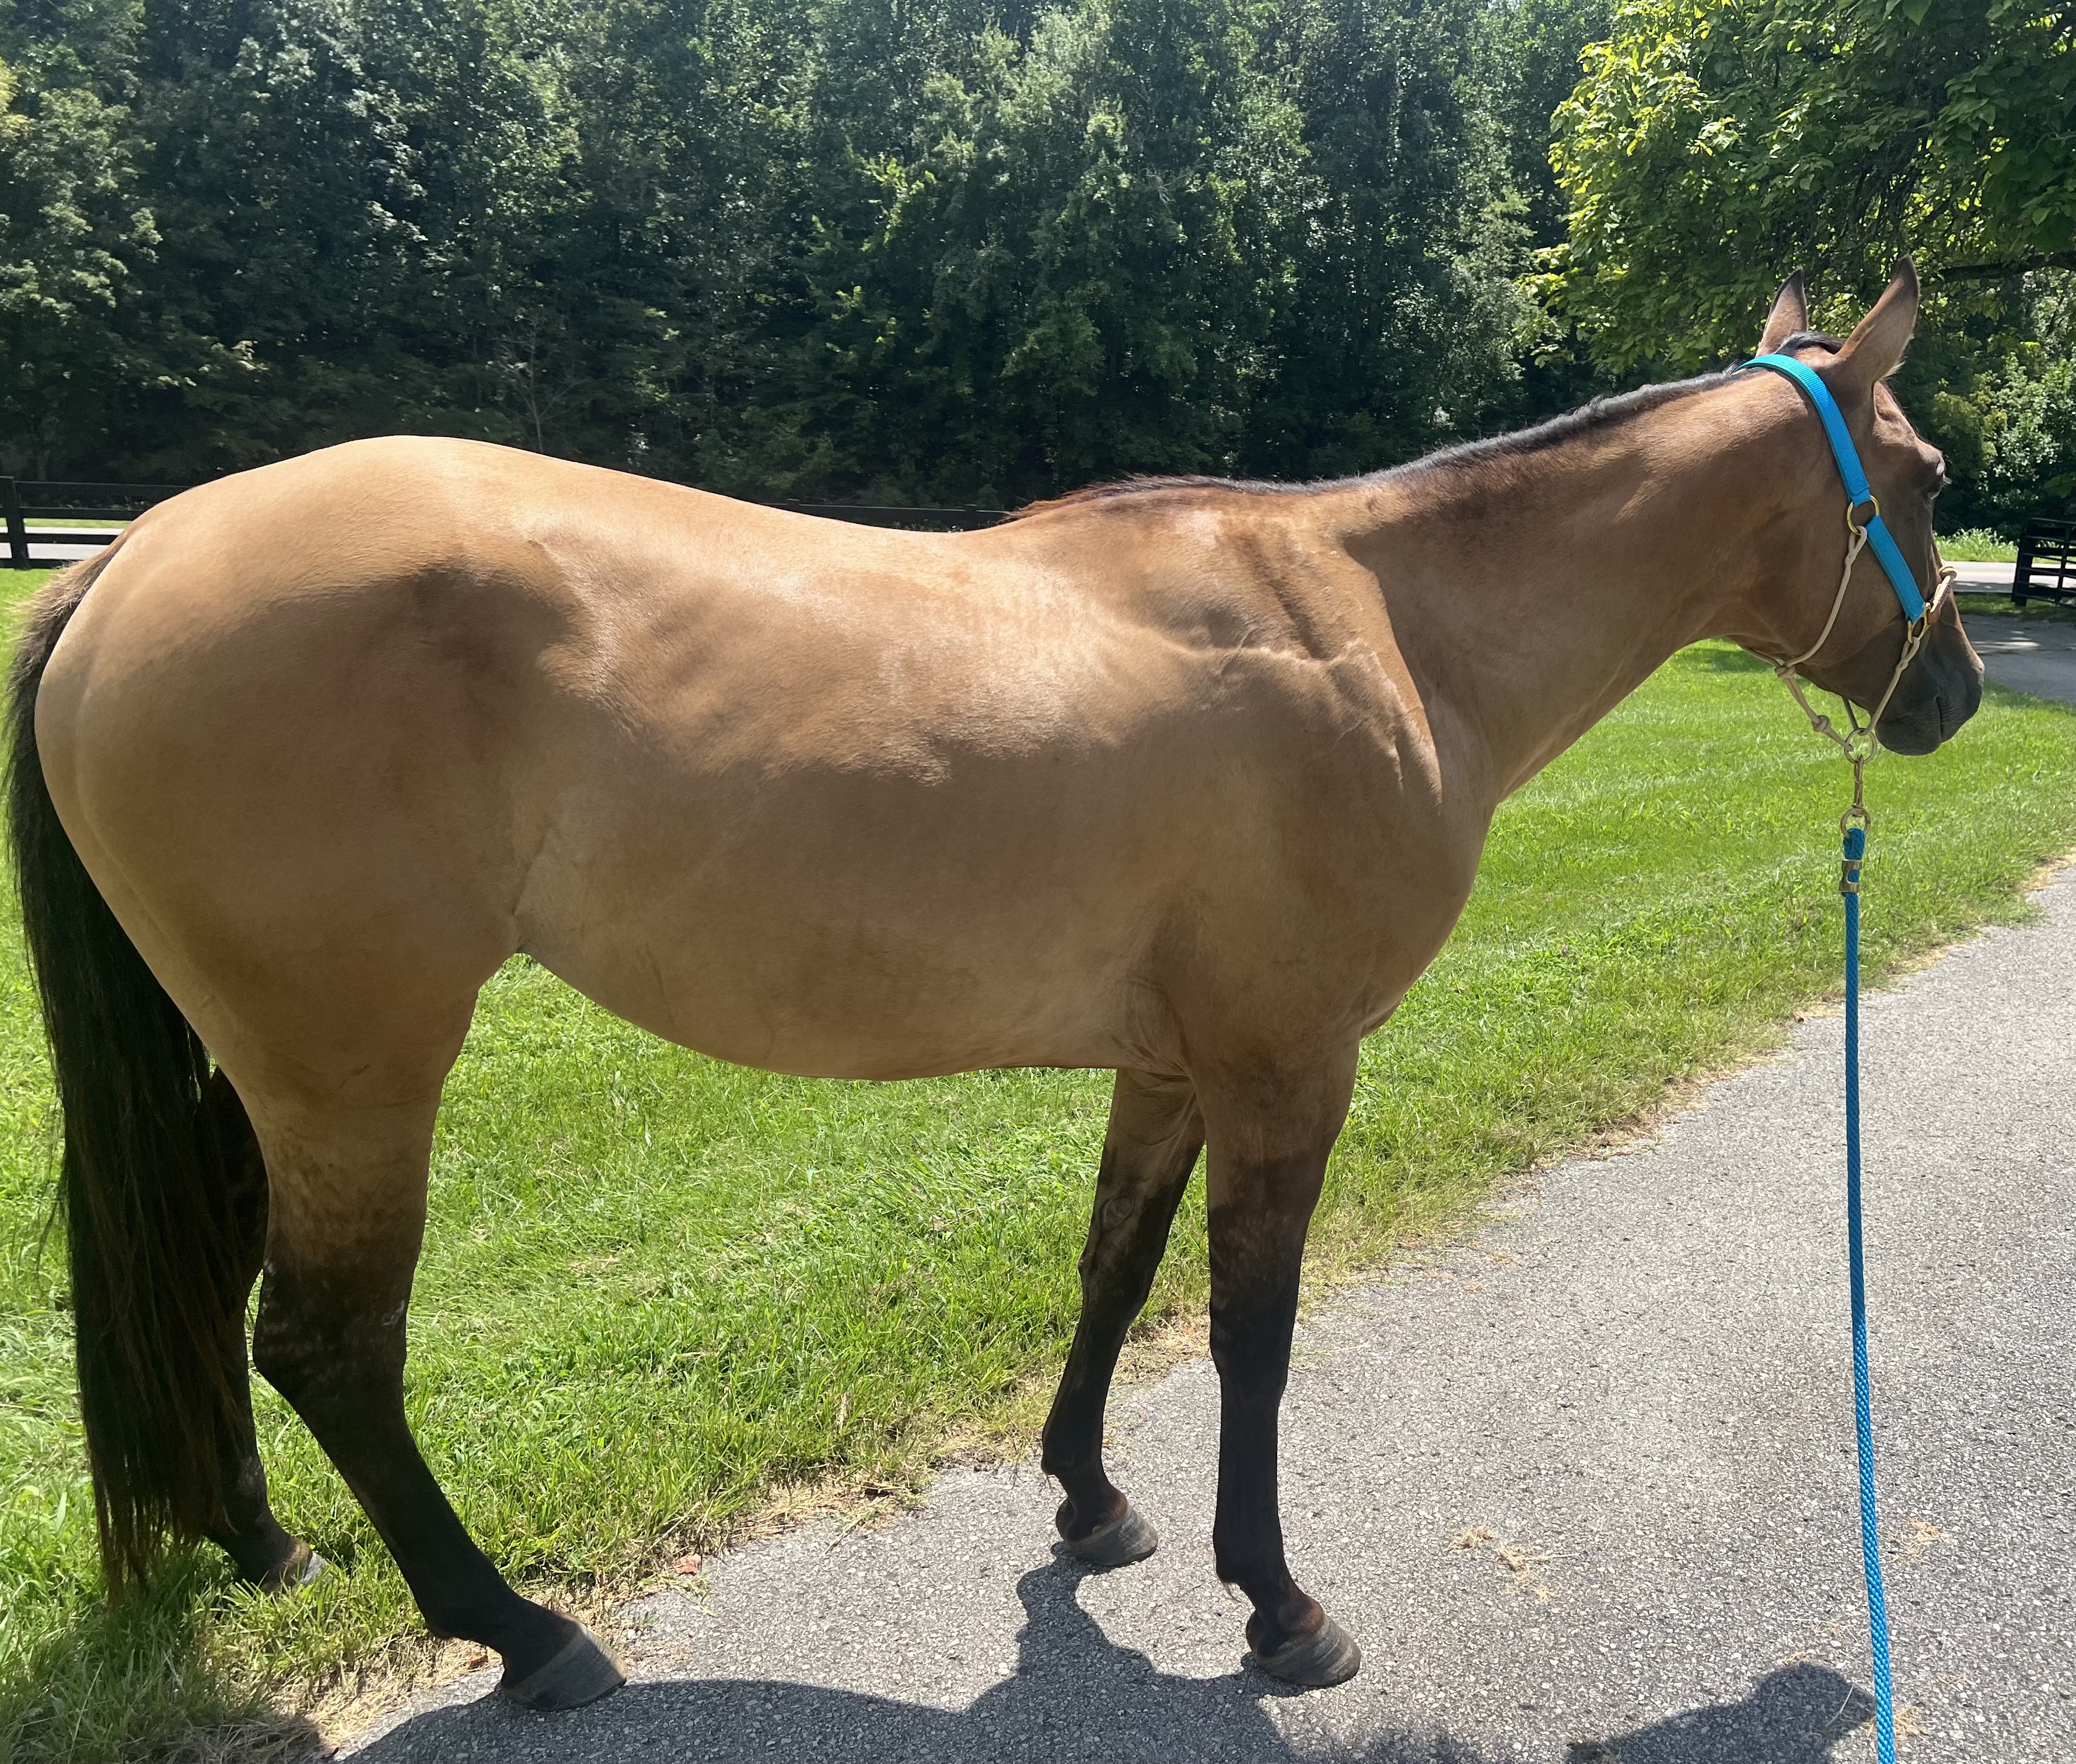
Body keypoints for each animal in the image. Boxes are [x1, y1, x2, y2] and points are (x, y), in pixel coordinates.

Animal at [7, 265, 1980, 1709]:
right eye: (1929, 481)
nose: (1951, 695)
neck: (1378, 625)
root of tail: (132, 553)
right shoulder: (1287, 1068)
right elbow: (1252, 1334)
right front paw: (1276, 1605)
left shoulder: (1174, 1063)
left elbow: (1112, 1269)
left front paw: (1090, 1500)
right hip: (356, 1069)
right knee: (324, 1343)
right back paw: (522, 1632)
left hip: (258, 1069)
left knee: (208, 1299)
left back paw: (265, 1548)